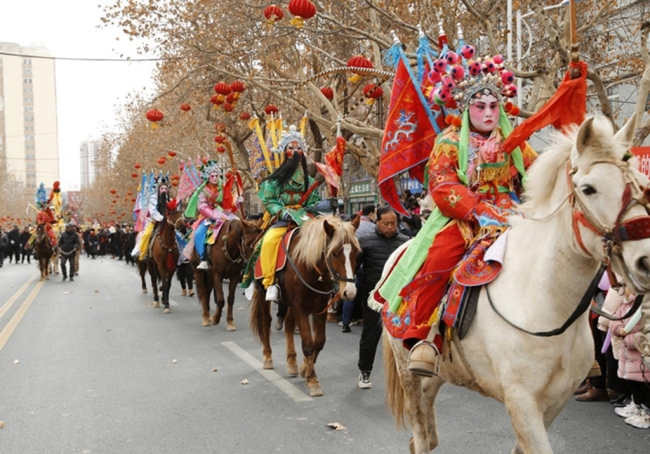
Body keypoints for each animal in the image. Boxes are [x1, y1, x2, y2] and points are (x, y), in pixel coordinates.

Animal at [248, 215, 360, 396]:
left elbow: (319, 342)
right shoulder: (300, 307)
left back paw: (292, 362)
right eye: (334, 253)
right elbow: (308, 344)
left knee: (288, 325)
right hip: (264, 293)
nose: (349, 292)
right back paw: (268, 358)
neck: (311, 269)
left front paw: (304, 369)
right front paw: (312, 380)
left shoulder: (319, 308)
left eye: (356, 253)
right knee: (265, 323)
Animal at [380, 114, 650, 454]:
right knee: (419, 433)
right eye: (589, 189)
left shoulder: (554, 402)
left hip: (442, 371)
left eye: (641, 185)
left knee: (426, 437)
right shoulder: (521, 400)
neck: (545, 304)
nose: (645, 260)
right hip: (407, 370)